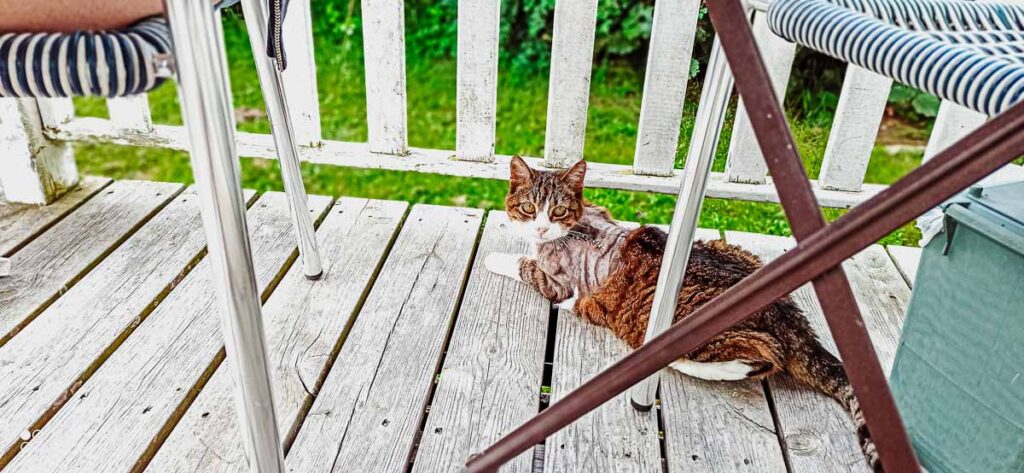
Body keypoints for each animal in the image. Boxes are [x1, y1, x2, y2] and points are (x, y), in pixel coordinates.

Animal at [485, 156, 880, 470]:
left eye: (558, 212)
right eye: (529, 208)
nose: (540, 226)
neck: (579, 227)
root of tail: (791, 319)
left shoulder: (557, 283)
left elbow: (525, 265)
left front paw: (496, 257)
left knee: (762, 358)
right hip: (735, 251)